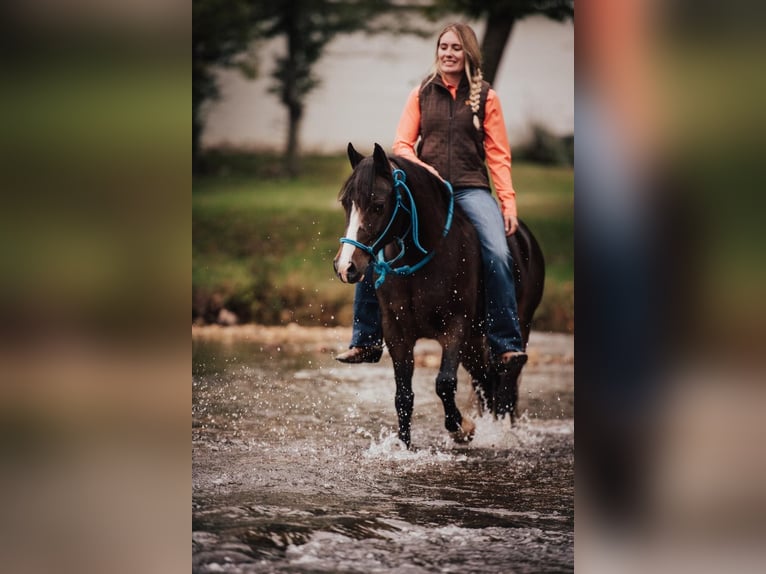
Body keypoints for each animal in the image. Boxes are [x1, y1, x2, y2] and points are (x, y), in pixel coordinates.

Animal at [332, 144, 544, 450]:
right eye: (346, 204)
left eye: (378, 205)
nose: (345, 266)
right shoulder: (397, 332)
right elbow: (403, 396)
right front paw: (405, 447)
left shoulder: (455, 326)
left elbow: (444, 383)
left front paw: (462, 428)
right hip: (473, 343)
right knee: (485, 382)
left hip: (517, 329)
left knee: (506, 381)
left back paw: (503, 434)